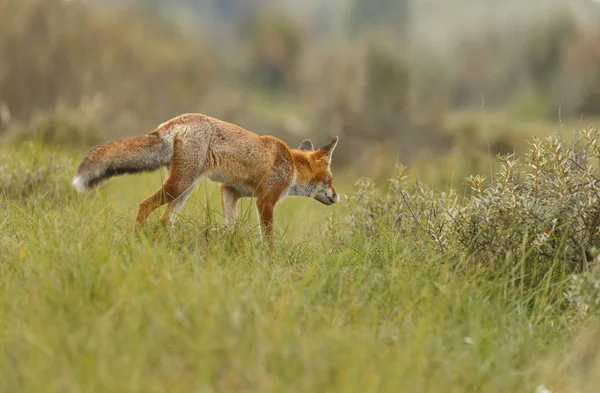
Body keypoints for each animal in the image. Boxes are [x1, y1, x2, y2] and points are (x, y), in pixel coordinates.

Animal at [72, 112, 340, 245]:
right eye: (330, 179)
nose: (338, 197)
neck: (291, 165)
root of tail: (174, 121)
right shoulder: (265, 201)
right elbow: (269, 238)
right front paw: (270, 259)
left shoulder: (230, 190)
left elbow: (230, 227)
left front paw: (228, 245)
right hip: (179, 185)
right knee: (145, 205)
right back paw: (137, 238)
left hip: (185, 189)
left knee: (164, 219)